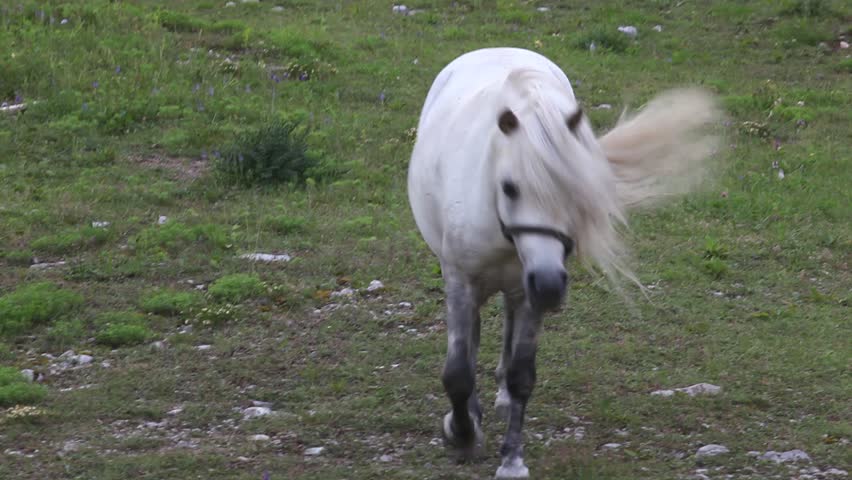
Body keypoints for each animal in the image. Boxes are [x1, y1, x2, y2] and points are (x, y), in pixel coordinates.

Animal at [407, 47, 721, 479]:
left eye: (577, 191)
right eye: (509, 187)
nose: (550, 285)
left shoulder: (530, 287)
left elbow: (522, 375)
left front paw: (512, 459)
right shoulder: (461, 279)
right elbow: (457, 372)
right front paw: (462, 433)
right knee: (472, 335)